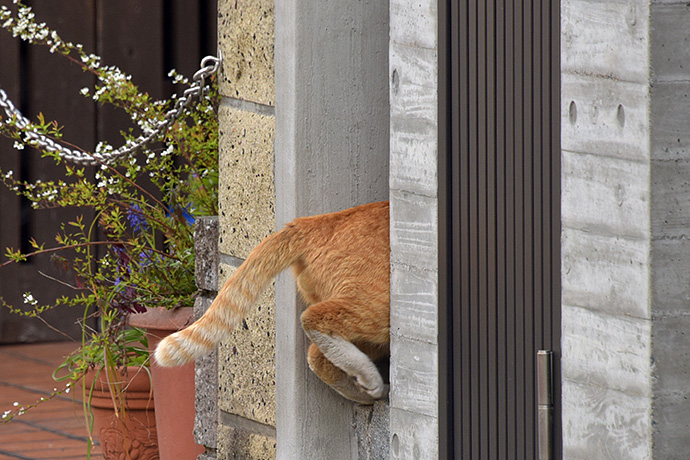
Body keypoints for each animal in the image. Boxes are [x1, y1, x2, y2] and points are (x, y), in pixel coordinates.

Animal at [157, 201, 392, 402]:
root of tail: (311, 221)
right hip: (382, 309)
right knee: (313, 319)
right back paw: (373, 384)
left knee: (316, 355)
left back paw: (368, 394)